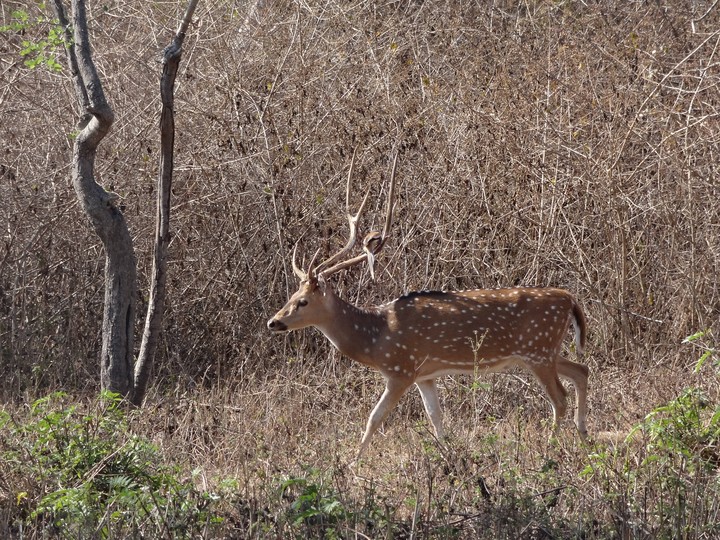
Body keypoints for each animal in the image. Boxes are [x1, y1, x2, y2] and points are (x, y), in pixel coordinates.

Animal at [267, 150, 589, 459]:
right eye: (290, 297)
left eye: (303, 301)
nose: (273, 321)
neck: (375, 338)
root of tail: (570, 299)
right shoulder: (426, 375)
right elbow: (435, 416)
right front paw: (448, 453)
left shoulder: (401, 369)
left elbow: (374, 418)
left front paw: (352, 463)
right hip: (543, 351)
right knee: (581, 370)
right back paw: (583, 435)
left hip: (537, 349)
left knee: (559, 398)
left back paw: (551, 446)